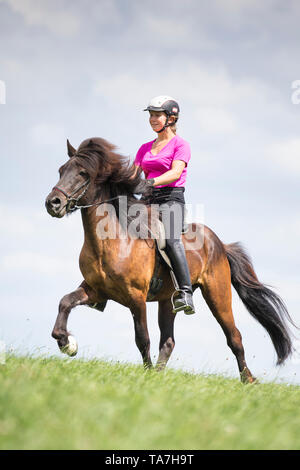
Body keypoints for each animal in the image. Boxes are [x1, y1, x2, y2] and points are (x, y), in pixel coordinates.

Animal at [45, 136, 296, 382]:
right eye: (61, 170)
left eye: (83, 173)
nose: (53, 203)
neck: (112, 240)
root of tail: (220, 244)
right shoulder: (95, 290)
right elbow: (65, 302)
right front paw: (67, 342)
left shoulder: (136, 297)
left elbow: (142, 338)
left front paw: (144, 376)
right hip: (168, 300)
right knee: (168, 341)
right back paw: (160, 374)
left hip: (218, 294)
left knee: (234, 336)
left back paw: (248, 380)